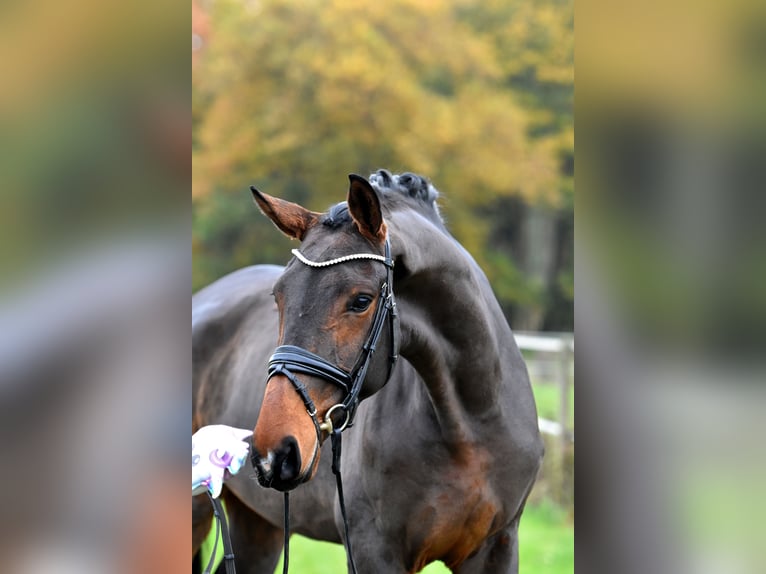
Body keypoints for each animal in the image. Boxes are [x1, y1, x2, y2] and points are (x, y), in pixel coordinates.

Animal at [194, 171, 544, 574]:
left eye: (361, 301)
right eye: (278, 297)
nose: (275, 451)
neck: (469, 425)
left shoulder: (498, 548)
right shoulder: (371, 549)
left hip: (258, 524)